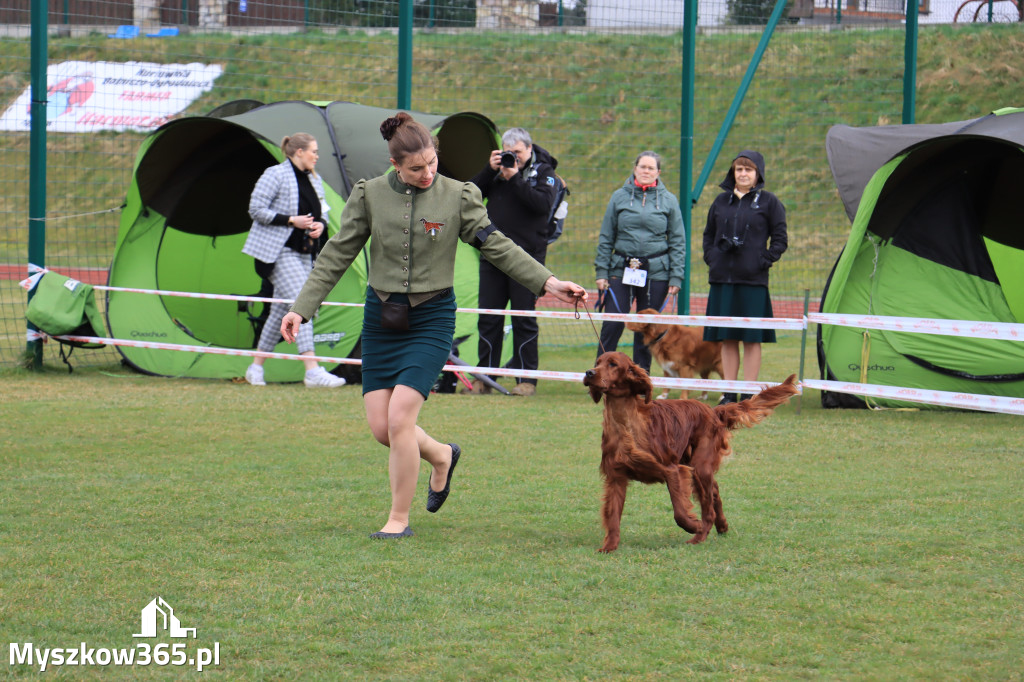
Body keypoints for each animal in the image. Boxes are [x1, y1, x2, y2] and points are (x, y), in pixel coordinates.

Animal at [585, 350, 798, 552]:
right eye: (598, 362)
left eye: (613, 364)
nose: (589, 373)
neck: (625, 423)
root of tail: (713, 411)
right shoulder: (616, 477)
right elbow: (613, 516)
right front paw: (609, 546)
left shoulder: (672, 470)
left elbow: (679, 512)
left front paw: (694, 526)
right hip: (694, 466)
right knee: (714, 491)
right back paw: (722, 526)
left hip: (699, 465)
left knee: (709, 508)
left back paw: (700, 535)